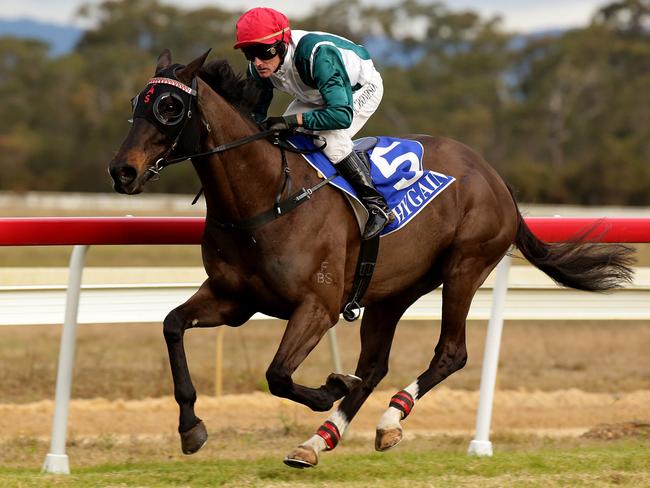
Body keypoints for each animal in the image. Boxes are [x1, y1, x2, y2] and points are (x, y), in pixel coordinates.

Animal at [107, 50, 632, 468]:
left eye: (170, 107)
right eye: (136, 104)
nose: (122, 171)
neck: (265, 197)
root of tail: (496, 177)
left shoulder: (316, 307)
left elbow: (278, 374)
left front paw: (330, 387)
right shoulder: (233, 299)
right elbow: (173, 326)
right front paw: (190, 427)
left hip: (465, 266)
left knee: (450, 353)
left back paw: (388, 419)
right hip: (390, 290)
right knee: (376, 364)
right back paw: (318, 442)